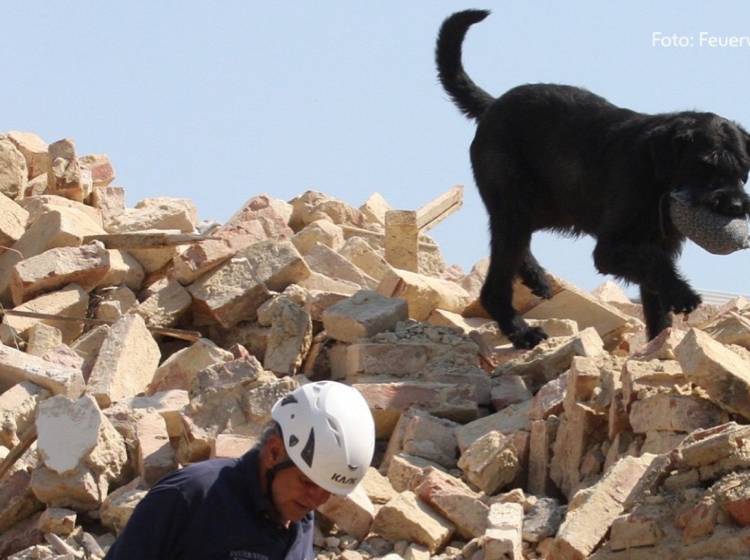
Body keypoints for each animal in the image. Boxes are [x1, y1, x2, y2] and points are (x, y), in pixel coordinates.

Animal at [438, 8, 750, 348]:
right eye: (706, 165)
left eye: (742, 169)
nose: (737, 206)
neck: (656, 171)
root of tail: (492, 105)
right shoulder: (612, 249)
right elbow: (653, 264)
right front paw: (683, 295)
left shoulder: (657, 245)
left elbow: (656, 295)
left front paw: (658, 344)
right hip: (515, 207)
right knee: (496, 282)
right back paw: (521, 331)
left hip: (543, 211)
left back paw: (536, 278)